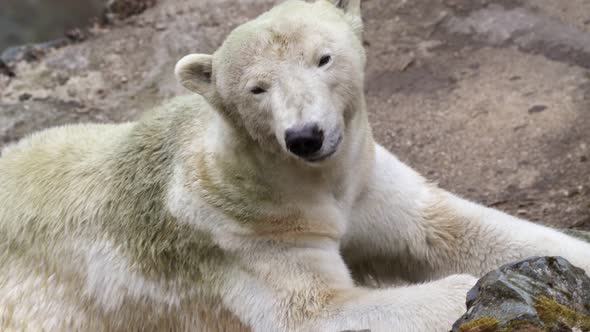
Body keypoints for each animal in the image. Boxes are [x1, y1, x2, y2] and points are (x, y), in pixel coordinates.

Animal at [1, 0, 590, 330]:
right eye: (256, 88)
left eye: (323, 58)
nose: (305, 136)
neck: (305, 180)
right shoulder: (242, 229)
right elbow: (319, 311)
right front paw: (473, 294)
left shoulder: (363, 178)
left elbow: (446, 226)